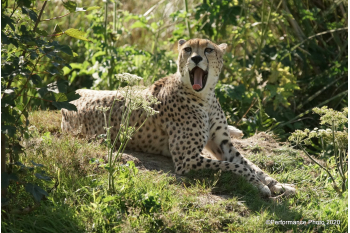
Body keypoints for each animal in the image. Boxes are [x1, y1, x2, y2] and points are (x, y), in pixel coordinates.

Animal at [62, 38, 296, 198]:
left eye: (208, 49)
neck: (204, 97)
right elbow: (235, 167)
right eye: (188, 49)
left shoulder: (222, 144)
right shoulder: (187, 159)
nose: (196, 59)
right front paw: (260, 186)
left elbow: (252, 165)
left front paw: (278, 184)